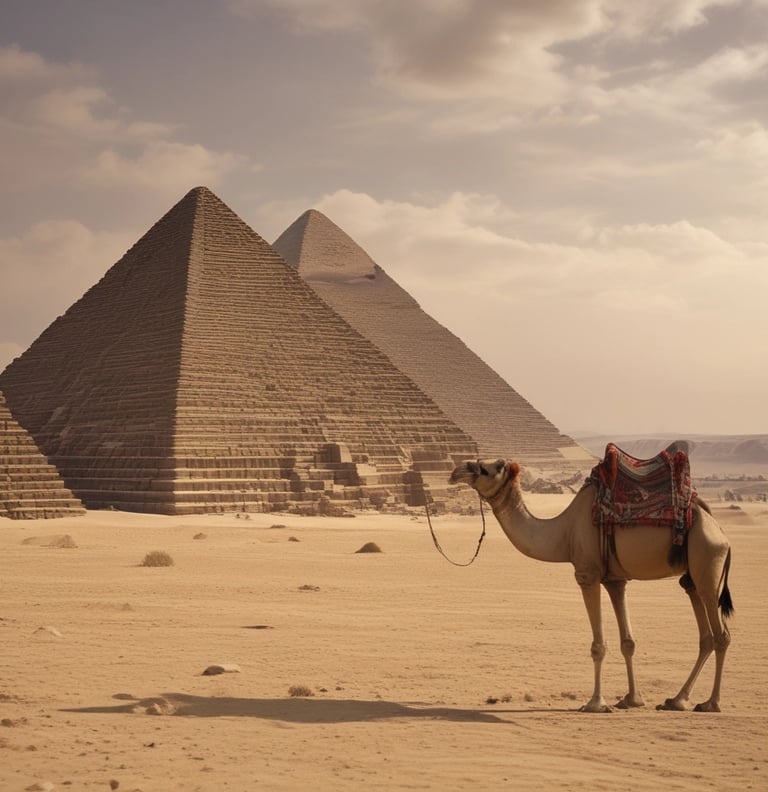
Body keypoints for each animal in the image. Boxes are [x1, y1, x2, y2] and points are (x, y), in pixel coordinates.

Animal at [449, 457, 733, 713]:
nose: (455, 472)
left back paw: (711, 703)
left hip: (707, 564)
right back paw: (677, 700)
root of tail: (719, 530)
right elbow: (628, 642)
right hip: (692, 576)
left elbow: (599, 645)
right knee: (706, 636)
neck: (564, 533)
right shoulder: (615, 580)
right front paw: (631, 700)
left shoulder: (587, 575)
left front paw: (595, 703)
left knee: (721, 635)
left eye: (488, 468)